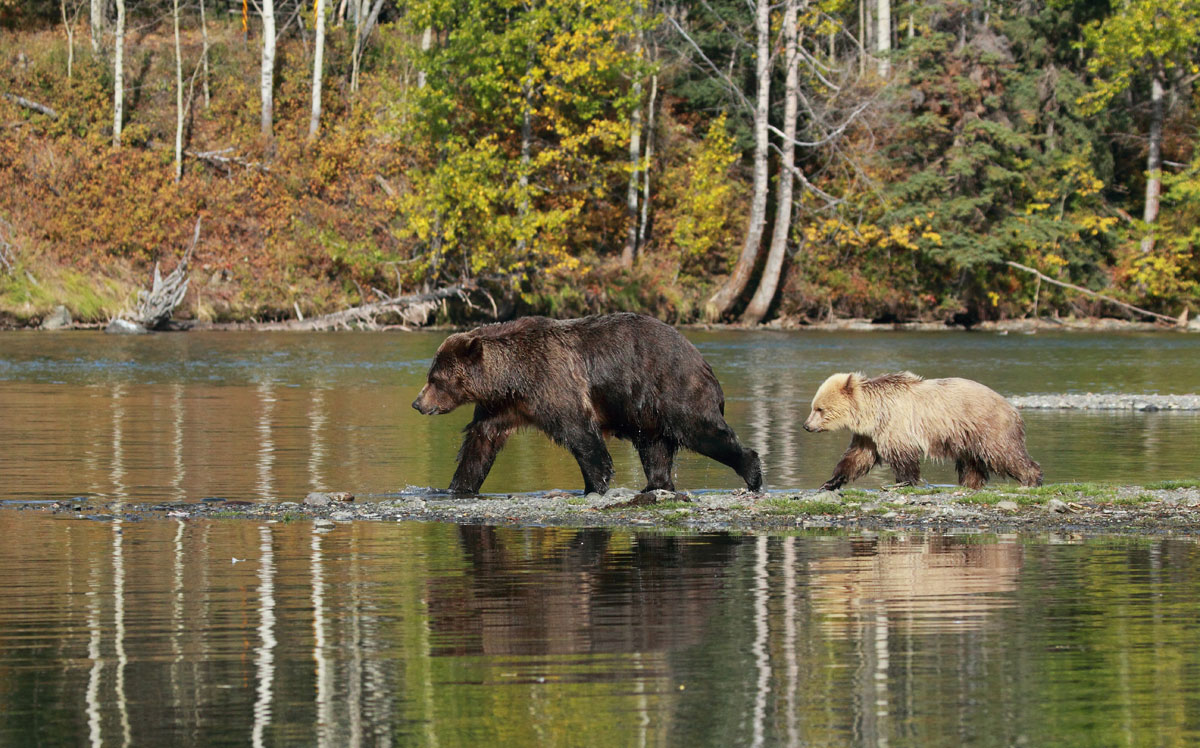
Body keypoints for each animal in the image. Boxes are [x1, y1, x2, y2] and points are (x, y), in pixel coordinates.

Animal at [412, 312, 758, 494]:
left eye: (435, 378)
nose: (417, 403)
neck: (512, 379)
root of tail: (700, 356)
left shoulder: (554, 383)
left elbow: (580, 433)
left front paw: (595, 483)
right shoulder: (501, 407)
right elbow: (480, 442)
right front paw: (457, 487)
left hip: (674, 389)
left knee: (703, 430)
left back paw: (752, 472)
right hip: (646, 413)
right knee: (655, 449)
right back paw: (655, 485)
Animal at [806, 369, 1041, 489]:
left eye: (820, 409)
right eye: (814, 407)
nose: (806, 426)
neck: (872, 412)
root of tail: (1014, 409)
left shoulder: (895, 424)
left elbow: (902, 456)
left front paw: (904, 482)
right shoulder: (870, 435)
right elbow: (857, 457)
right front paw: (831, 482)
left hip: (988, 426)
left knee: (1004, 454)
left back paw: (1032, 479)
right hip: (966, 436)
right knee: (971, 464)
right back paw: (969, 484)